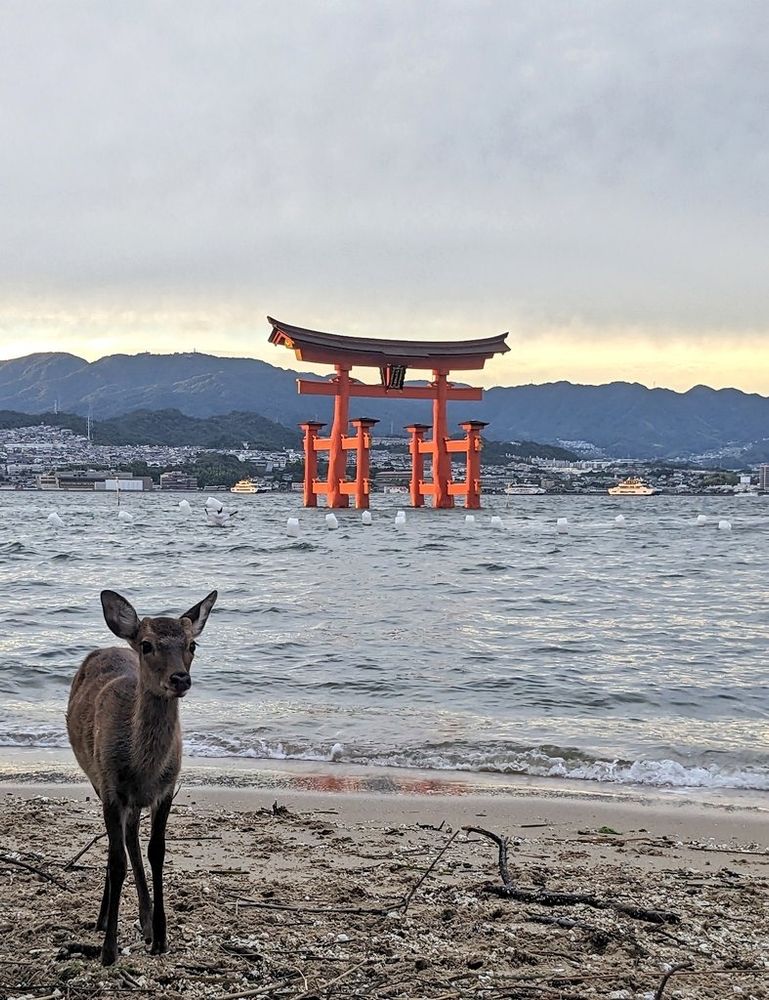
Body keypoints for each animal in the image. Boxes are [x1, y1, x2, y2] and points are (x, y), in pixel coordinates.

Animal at [66, 588, 218, 966]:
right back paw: (104, 920)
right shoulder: (110, 788)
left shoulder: (166, 789)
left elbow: (157, 852)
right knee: (119, 844)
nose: (180, 679)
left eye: (192, 645)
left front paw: (161, 938)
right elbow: (116, 859)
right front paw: (108, 951)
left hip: (134, 801)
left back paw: (146, 922)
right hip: (96, 778)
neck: (143, 768)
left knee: (132, 837)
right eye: (147, 645)